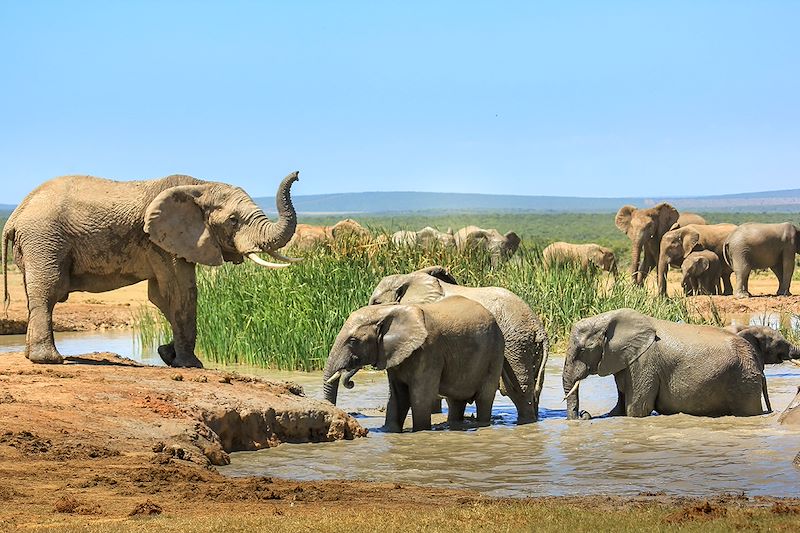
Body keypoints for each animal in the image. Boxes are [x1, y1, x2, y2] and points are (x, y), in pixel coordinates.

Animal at [2, 170, 300, 366]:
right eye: (233, 220)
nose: (297, 173)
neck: (200, 185)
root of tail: (15, 215)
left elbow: (162, 297)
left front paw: (167, 354)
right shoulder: (161, 241)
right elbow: (180, 292)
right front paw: (190, 364)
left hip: (35, 244)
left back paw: (32, 356)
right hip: (44, 239)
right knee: (48, 292)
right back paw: (49, 360)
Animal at [322, 296, 504, 432]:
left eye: (353, 341)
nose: (350, 382)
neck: (387, 311)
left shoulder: (429, 351)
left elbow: (420, 397)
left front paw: (420, 431)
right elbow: (397, 397)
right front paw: (389, 431)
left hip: (495, 353)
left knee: (484, 398)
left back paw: (481, 424)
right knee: (455, 402)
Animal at [364, 266, 548, 424]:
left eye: (376, 302)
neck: (409, 278)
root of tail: (538, 329)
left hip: (515, 346)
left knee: (518, 391)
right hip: (529, 349)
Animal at [564, 308, 768, 420]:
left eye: (583, 350)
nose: (583, 413)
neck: (609, 317)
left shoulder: (644, 362)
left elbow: (636, 409)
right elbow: (620, 409)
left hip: (744, 379)